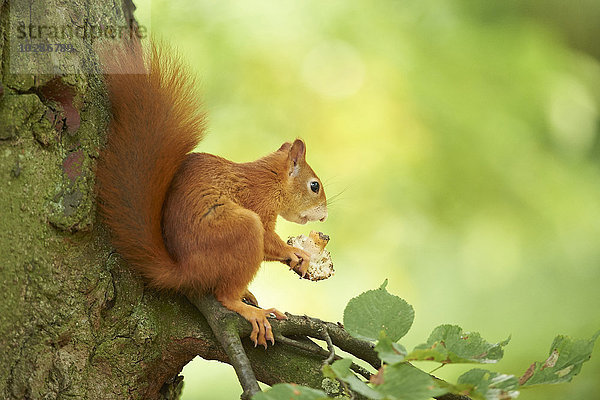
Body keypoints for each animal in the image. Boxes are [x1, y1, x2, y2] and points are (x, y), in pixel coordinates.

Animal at [96, 40, 328, 346]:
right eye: (314, 186)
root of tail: (185, 271)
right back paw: (249, 309)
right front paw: (295, 252)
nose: (325, 216)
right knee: (224, 294)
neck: (270, 179)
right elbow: (268, 240)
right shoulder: (258, 202)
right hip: (241, 230)